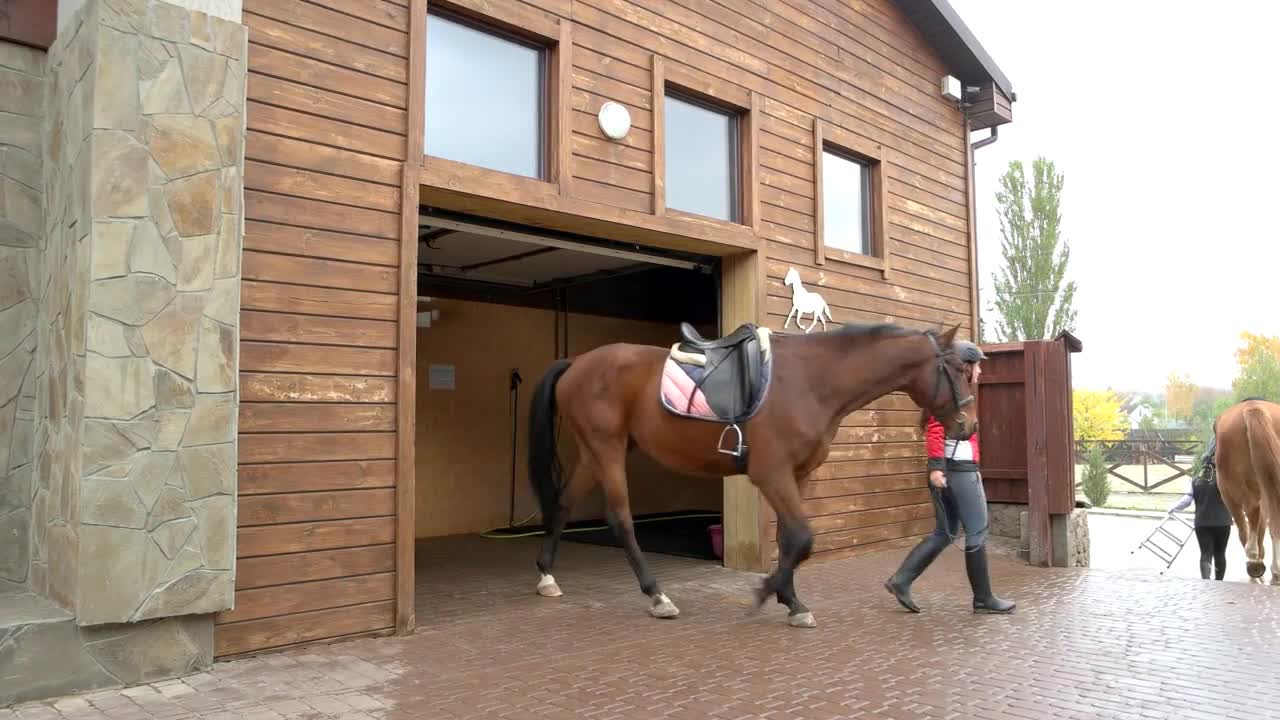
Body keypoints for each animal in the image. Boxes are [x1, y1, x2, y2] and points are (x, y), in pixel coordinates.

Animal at [524, 319, 972, 622]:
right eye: (957, 370)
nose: (967, 427)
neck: (810, 381)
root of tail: (576, 363)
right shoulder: (771, 474)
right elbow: (803, 538)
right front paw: (764, 594)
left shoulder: (797, 475)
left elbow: (789, 539)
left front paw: (791, 601)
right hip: (608, 450)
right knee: (620, 520)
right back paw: (657, 596)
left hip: (593, 453)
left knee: (563, 505)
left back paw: (546, 577)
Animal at [1208, 394, 1280, 579]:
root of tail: (1253, 409)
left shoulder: (1229, 497)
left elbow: (1245, 531)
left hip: (1233, 491)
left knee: (1251, 513)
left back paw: (1254, 561)